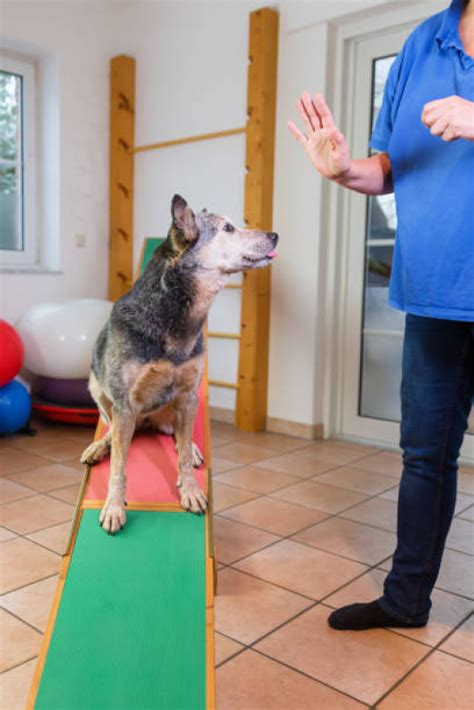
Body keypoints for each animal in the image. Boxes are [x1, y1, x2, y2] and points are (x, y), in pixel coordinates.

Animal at [79, 195, 276, 536]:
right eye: (228, 228)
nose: (275, 235)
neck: (173, 318)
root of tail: (146, 422)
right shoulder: (123, 403)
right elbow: (119, 467)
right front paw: (114, 506)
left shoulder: (187, 394)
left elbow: (182, 455)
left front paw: (191, 490)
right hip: (99, 391)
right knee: (111, 431)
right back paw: (99, 447)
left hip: (185, 405)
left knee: (179, 436)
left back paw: (193, 448)